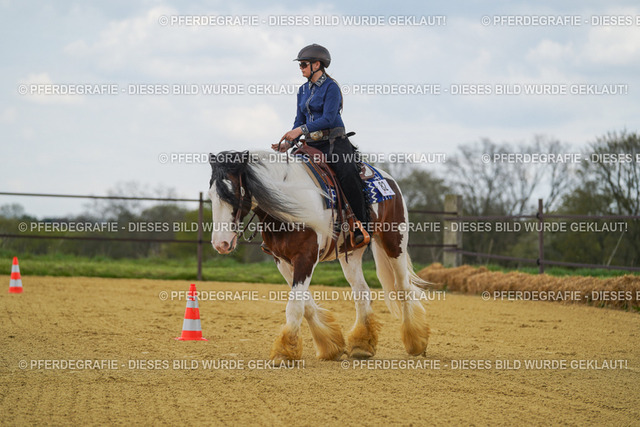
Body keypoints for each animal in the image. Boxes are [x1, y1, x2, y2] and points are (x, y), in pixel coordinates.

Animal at [207, 150, 431, 362]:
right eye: (210, 195)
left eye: (232, 194)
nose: (220, 244)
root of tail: (388, 179)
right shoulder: (282, 261)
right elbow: (305, 305)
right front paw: (330, 345)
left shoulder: (306, 257)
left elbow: (295, 306)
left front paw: (284, 353)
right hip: (350, 254)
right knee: (362, 292)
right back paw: (362, 344)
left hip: (394, 241)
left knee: (403, 287)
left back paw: (416, 341)